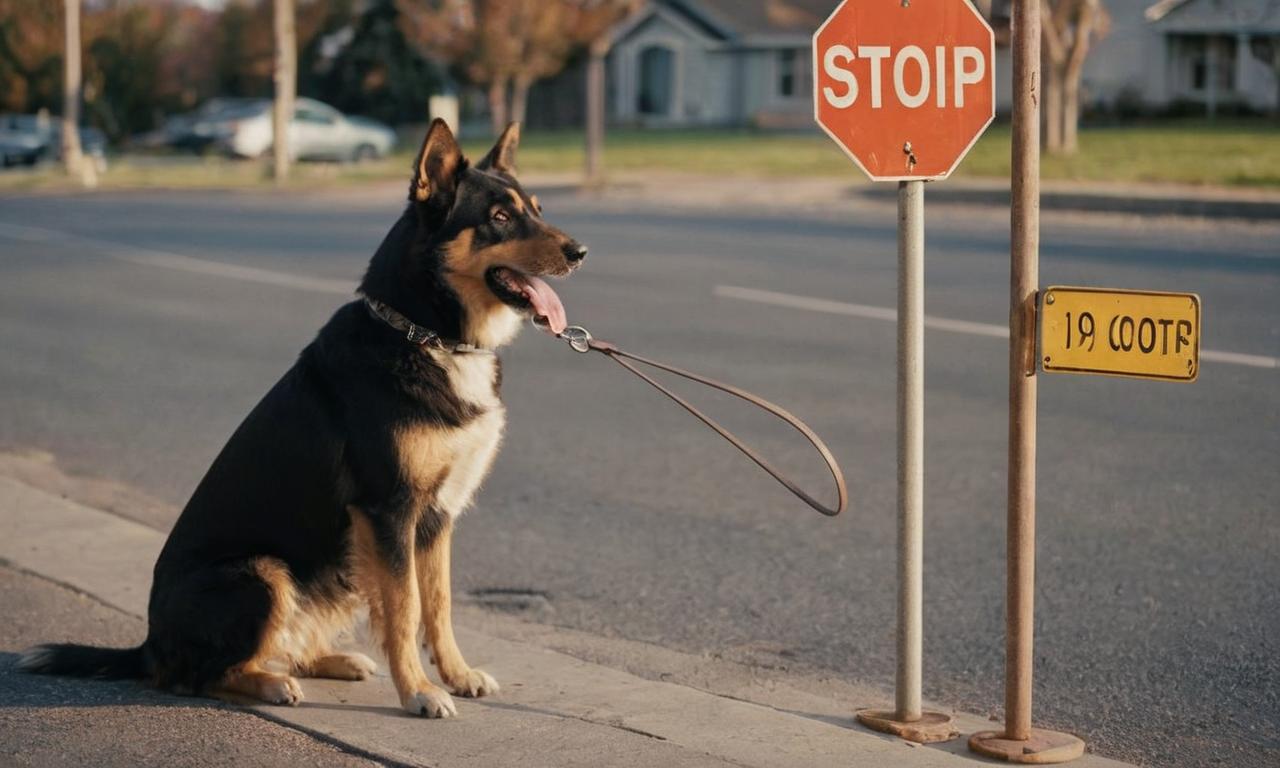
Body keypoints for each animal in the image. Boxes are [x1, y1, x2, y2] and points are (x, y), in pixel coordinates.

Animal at [17, 120, 586, 721]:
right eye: (499, 217)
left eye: (537, 209)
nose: (580, 252)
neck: (426, 334)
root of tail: (149, 644)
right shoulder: (389, 511)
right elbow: (405, 610)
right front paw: (418, 692)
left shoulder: (435, 517)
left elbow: (438, 605)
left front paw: (455, 676)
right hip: (262, 574)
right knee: (198, 677)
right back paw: (271, 684)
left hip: (334, 574)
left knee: (273, 648)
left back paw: (331, 661)